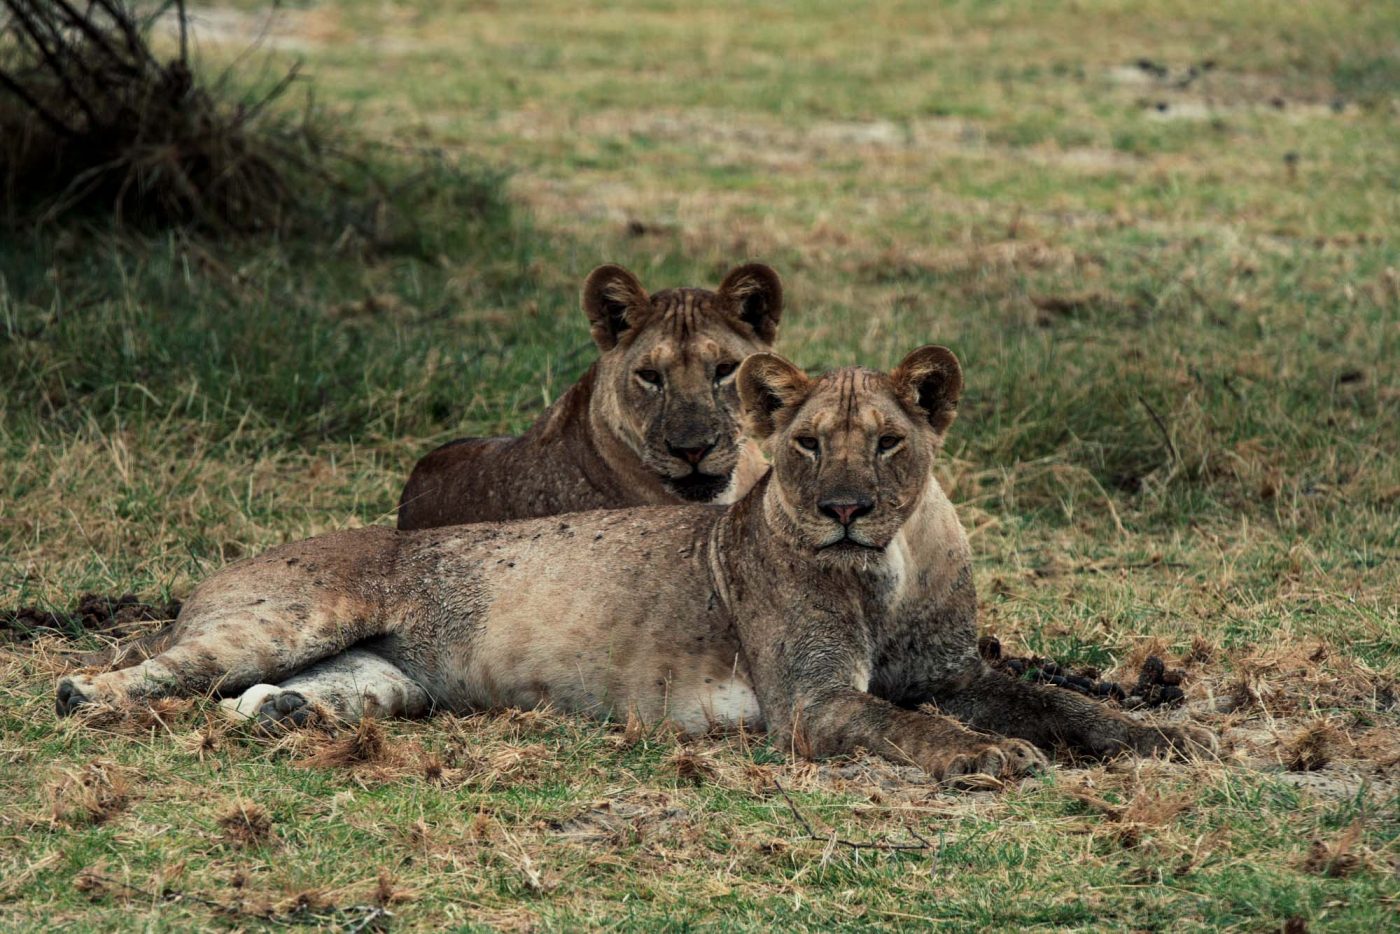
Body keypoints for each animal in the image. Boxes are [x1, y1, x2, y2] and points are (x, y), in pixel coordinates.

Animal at [54, 345, 1215, 784]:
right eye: (806, 444)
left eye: (887, 442)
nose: (841, 510)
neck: (886, 570)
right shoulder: (810, 703)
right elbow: (914, 726)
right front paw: (991, 758)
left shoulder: (956, 671)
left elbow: (1059, 702)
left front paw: (1162, 735)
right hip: (293, 612)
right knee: (157, 671)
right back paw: (87, 694)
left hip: (390, 677)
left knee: (278, 694)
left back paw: (288, 714)